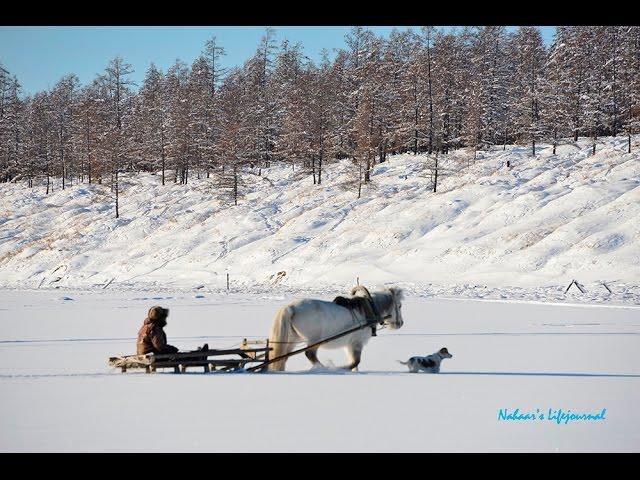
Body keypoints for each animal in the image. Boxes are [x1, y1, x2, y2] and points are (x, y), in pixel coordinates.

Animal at [268, 286, 402, 374]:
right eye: (399, 306)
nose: (400, 323)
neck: (369, 309)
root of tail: (291, 307)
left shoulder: (349, 345)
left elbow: (354, 362)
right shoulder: (357, 343)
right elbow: (355, 362)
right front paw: (341, 368)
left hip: (292, 340)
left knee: (283, 357)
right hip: (314, 339)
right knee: (309, 354)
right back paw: (322, 368)